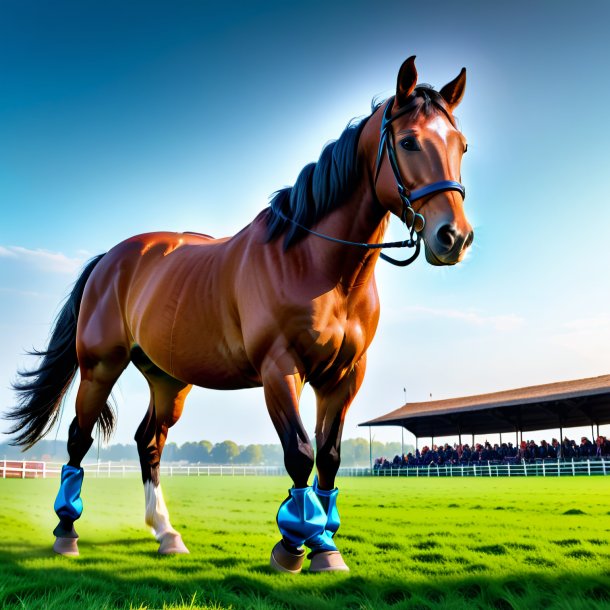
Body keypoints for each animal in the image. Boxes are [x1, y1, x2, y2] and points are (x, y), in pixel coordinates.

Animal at [7, 54, 470, 572]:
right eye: (409, 141)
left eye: (462, 146)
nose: (453, 236)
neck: (316, 264)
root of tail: (112, 258)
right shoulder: (280, 369)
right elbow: (299, 453)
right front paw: (295, 545)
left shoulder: (344, 376)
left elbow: (329, 456)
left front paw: (324, 544)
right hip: (100, 367)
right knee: (78, 439)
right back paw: (66, 532)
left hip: (168, 380)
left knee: (149, 442)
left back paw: (166, 532)